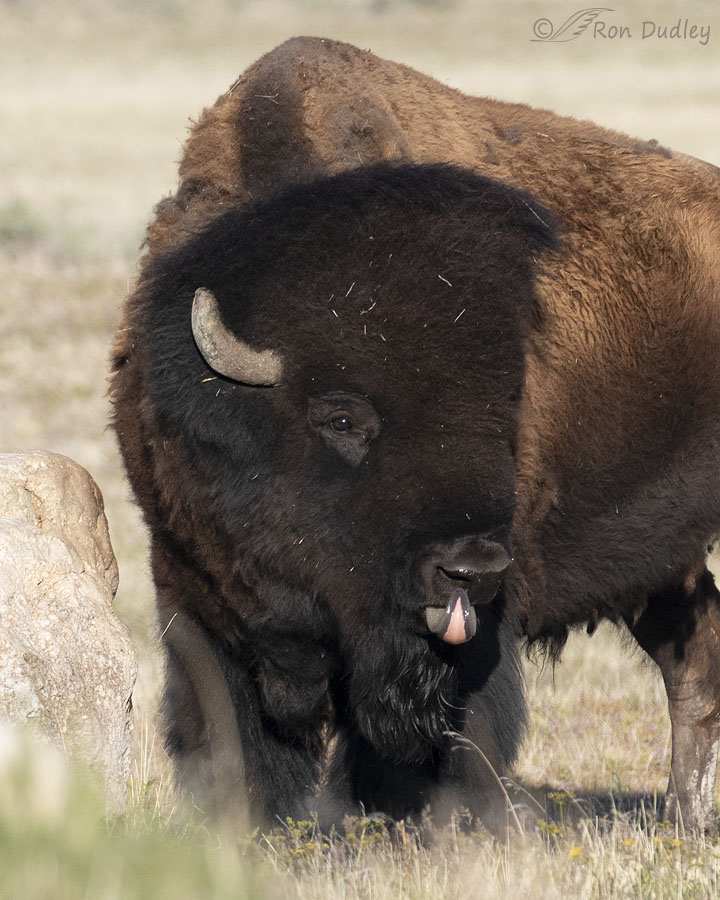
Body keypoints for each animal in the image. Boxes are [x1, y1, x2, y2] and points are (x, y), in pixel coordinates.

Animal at [112, 37, 720, 831]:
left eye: (508, 406)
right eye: (342, 418)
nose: (468, 567)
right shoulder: (190, 581)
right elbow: (227, 730)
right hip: (664, 567)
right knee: (694, 656)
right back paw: (687, 814)